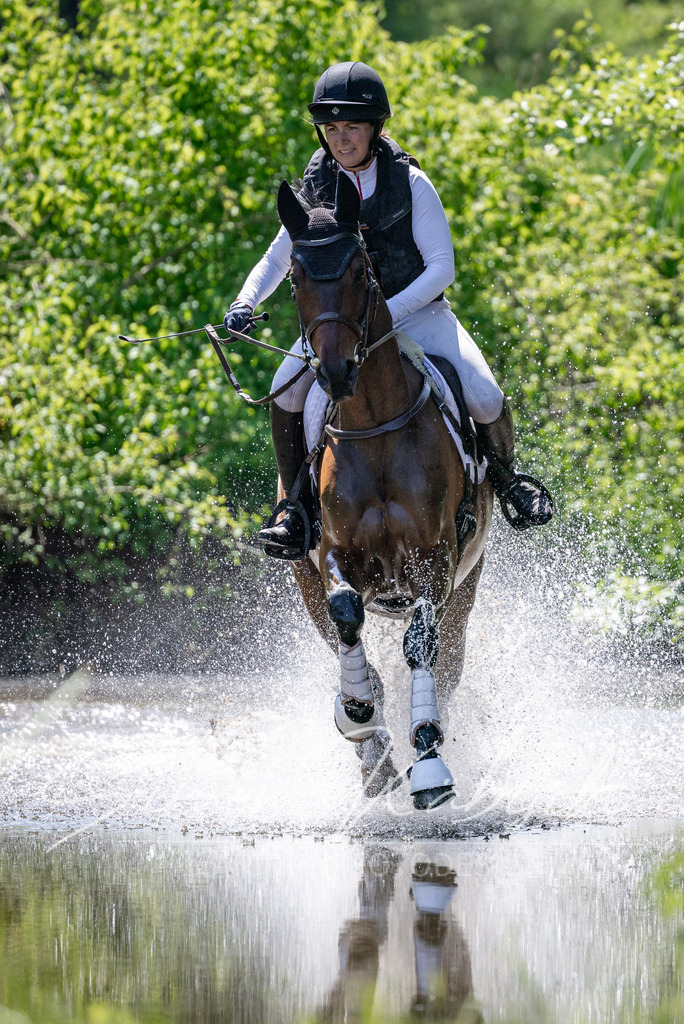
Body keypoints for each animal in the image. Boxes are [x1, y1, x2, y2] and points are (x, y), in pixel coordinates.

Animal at [275, 173, 493, 810]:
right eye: (295, 277)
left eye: (359, 270)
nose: (335, 371)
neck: (373, 428)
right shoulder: (334, 556)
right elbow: (347, 613)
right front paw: (359, 713)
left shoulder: (435, 560)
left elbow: (421, 645)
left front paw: (431, 765)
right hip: (305, 582)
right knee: (345, 640)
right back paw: (373, 756)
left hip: (466, 587)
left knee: (446, 661)